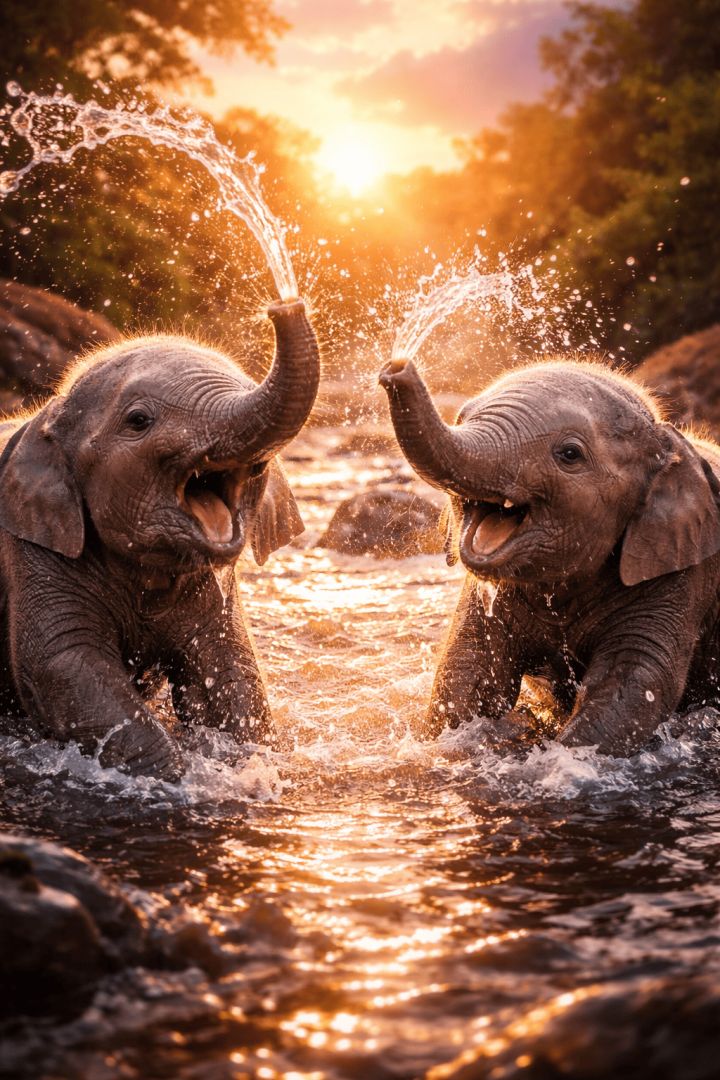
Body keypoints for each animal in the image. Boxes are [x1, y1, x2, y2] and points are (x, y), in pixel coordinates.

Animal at [0, 299, 319, 780]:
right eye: (139, 421)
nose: (285, 304)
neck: (47, 416)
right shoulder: (31, 548)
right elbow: (63, 663)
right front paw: (184, 781)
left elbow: (228, 665)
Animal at [379, 357, 720, 755]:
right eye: (461, 417)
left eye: (569, 454)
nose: (396, 366)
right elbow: (468, 666)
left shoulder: (684, 573)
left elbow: (636, 679)